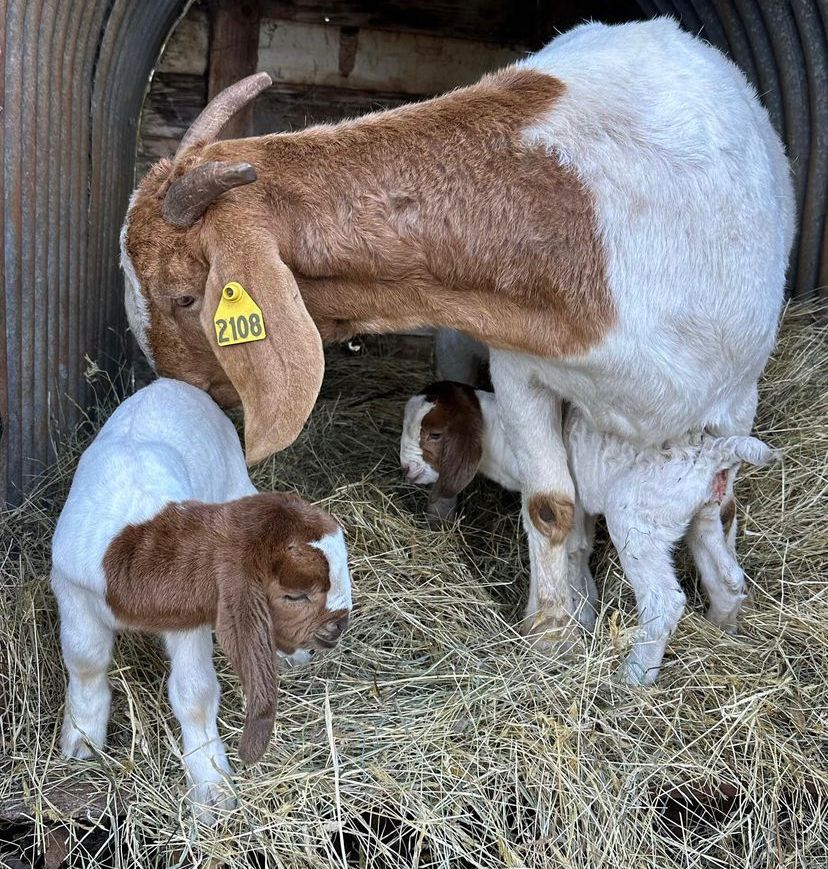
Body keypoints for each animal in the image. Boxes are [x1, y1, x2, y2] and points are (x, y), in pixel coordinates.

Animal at [51, 376, 350, 816]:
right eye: (296, 594)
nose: (339, 628)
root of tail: (171, 383)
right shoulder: (72, 592)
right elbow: (85, 661)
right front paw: (81, 740)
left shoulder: (188, 618)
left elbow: (195, 693)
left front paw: (212, 788)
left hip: (235, 482)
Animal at [402, 384, 776, 680]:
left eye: (435, 434)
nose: (406, 468)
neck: (500, 435)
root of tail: (712, 452)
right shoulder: (579, 506)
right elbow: (577, 550)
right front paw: (584, 613)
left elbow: (563, 549)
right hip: (705, 514)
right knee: (728, 577)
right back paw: (722, 628)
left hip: (635, 520)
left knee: (664, 601)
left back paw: (634, 677)